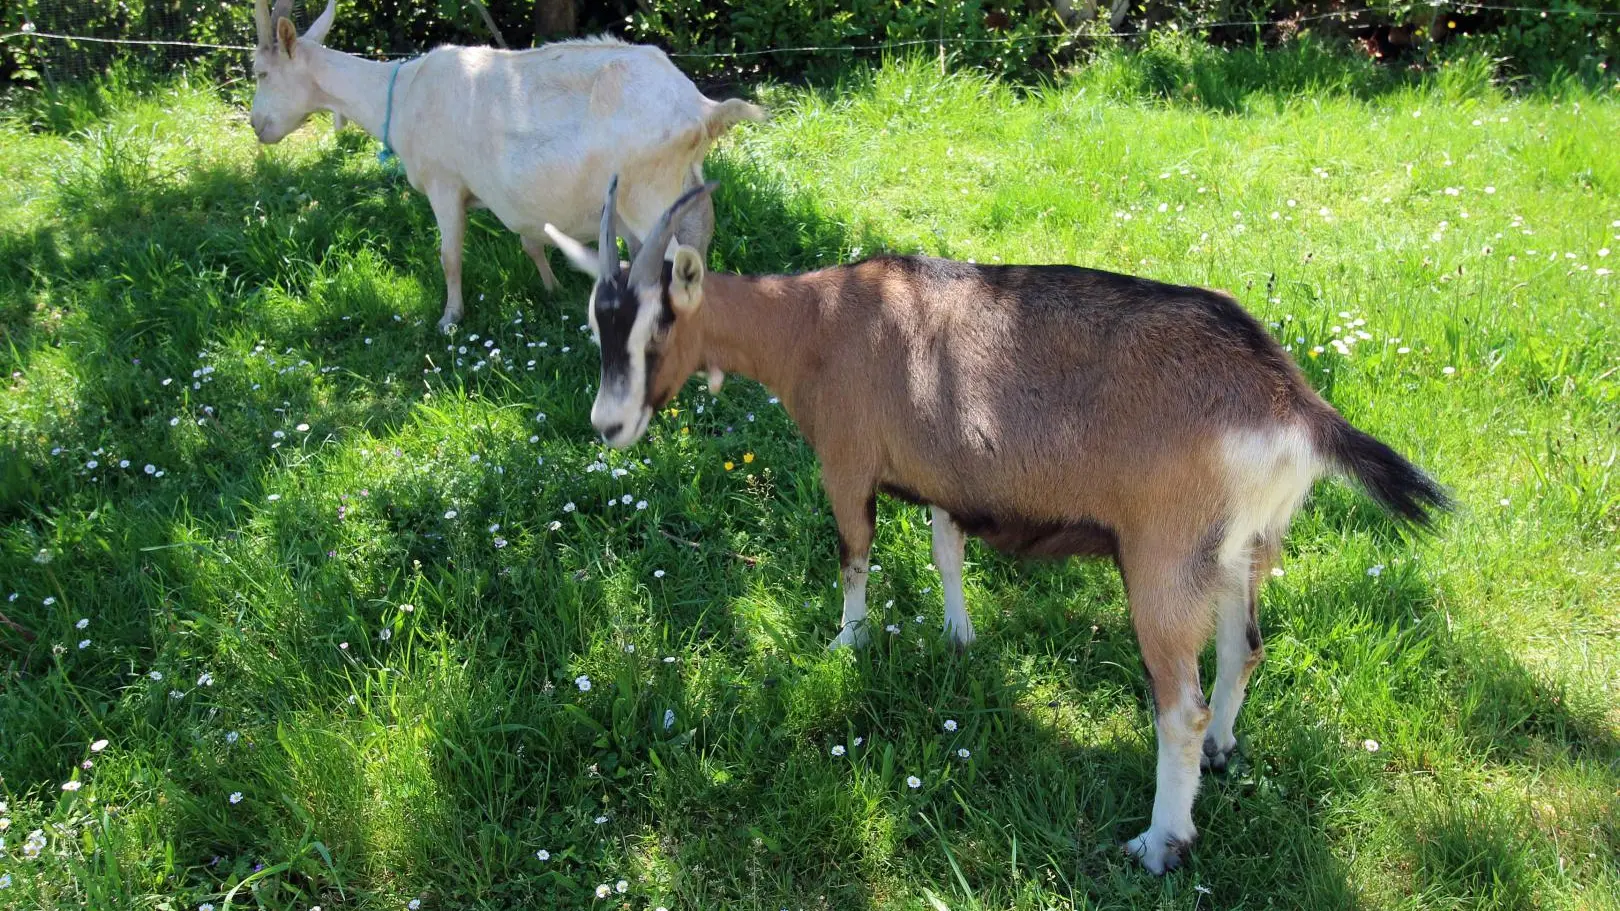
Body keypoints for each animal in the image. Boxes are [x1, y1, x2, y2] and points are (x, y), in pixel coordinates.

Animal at [247, 0, 764, 329]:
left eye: (261, 72)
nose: (256, 127)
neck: (404, 91)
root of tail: (701, 108)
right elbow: (531, 242)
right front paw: (553, 289)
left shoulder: (444, 183)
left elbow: (449, 255)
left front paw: (450, 319)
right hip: (683, 188)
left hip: (646, 196)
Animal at [547, 180, 1458, 868]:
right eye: (597, 319)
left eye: (659, 321)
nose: (608, 426)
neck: (819, 320)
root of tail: (1292, 401)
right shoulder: (947, 475)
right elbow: (947, 551)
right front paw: (958, 636)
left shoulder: (846, 463)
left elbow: (853, 554)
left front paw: (846, 644)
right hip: (1241, 552)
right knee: (1244, 650)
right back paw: (1225, 754)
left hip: (1163, 562)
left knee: (1180, 707)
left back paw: (1158, 841)